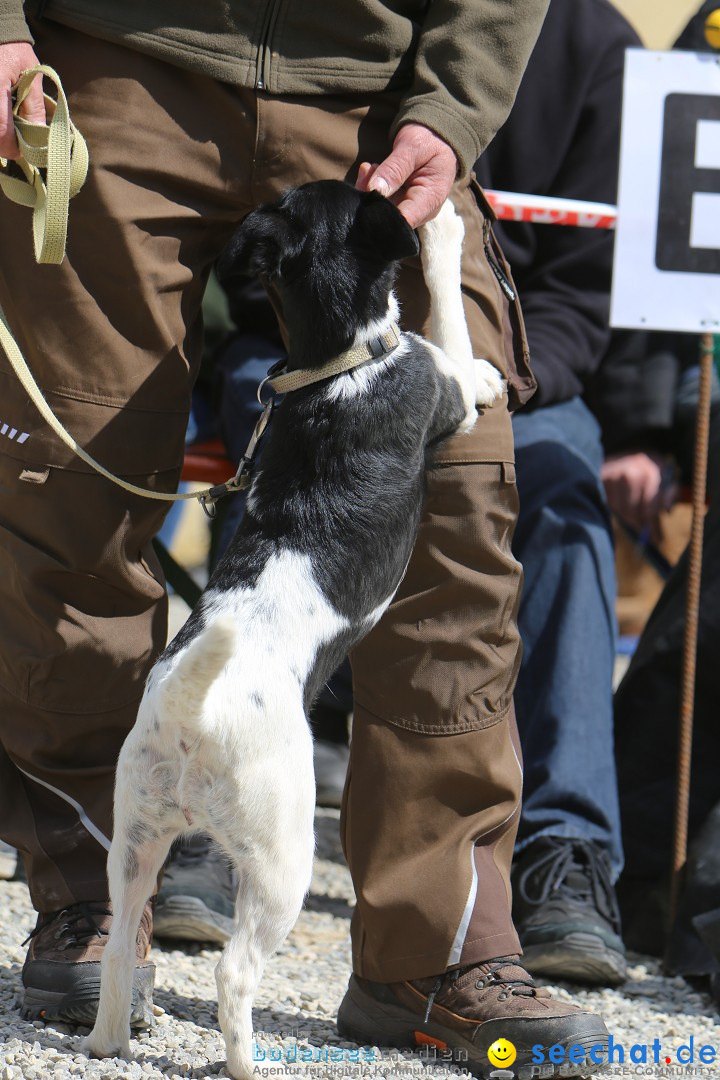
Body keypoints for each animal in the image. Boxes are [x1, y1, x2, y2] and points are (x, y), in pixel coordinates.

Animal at [83, 181, 500, 1075]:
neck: (335, 364)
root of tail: (192, 711)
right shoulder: (446, 386)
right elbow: (453, 328)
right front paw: (447, 236)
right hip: (281, 860)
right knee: (233, 976)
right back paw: (247, 1064)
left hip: (133, 837)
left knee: (121, 943)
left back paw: (105, 1039)